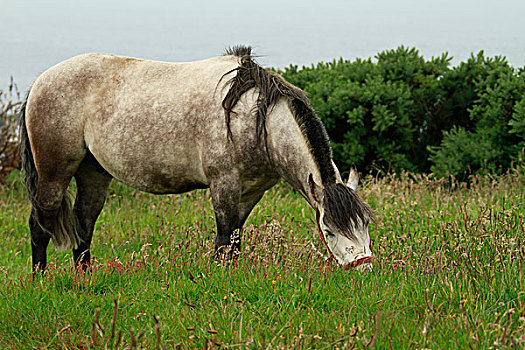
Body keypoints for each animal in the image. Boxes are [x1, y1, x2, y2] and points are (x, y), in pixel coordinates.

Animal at [19, 45, 372, 270]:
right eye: (328, 230)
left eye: (366, 224)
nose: (363, 270)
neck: (256, 119)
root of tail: (40, 82)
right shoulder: (224, 185)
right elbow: (223, 240)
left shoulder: (251, 193)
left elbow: (235, 241)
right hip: (54, 175)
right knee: (39, 226)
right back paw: (41, 281)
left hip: (93, 174)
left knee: (84, 225)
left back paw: (86, 280)